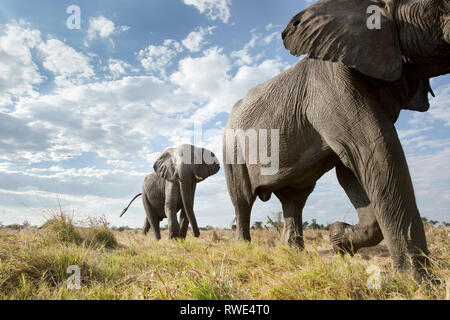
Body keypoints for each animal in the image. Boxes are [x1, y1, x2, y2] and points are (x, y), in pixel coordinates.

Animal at [223, 0, 448, 280]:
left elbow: (351, 169)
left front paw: (339, 238)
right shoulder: (332, 84)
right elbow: (375, 151)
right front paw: (420, 283)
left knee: (294, 199)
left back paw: (293, 253)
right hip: (232, 149)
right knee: (242, 199)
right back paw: (244, 249)